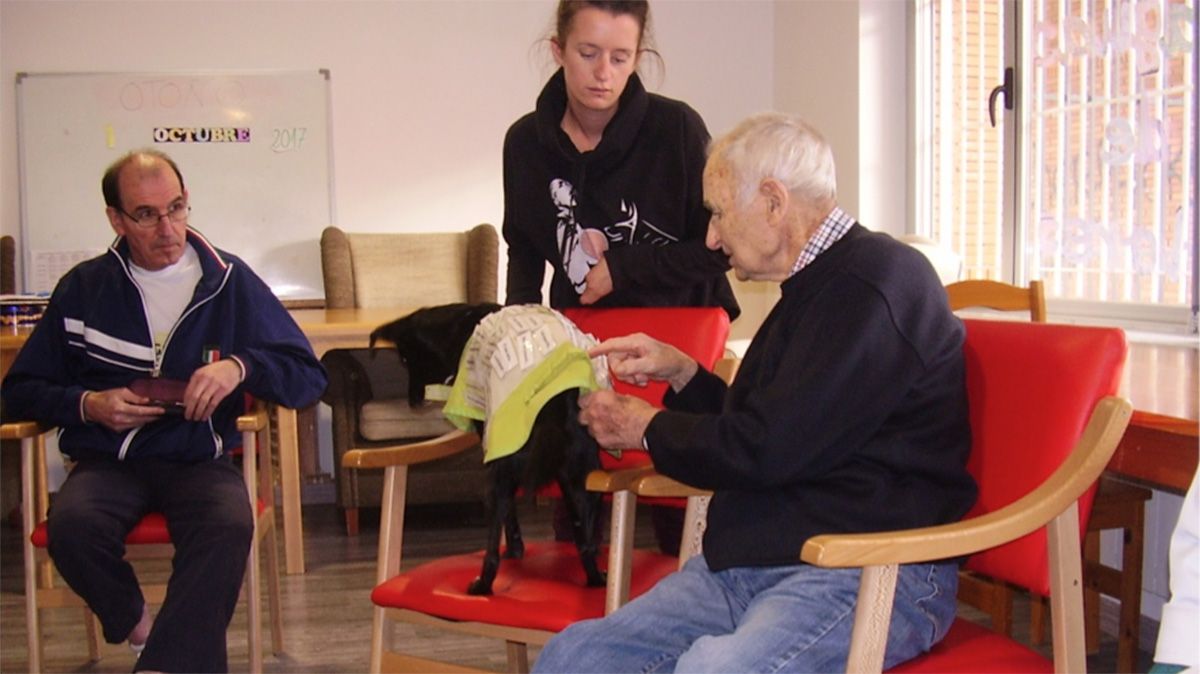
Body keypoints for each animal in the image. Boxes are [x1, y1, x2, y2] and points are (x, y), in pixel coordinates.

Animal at [369, 302, 604, 590]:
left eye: (404, 359)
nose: (413, 402)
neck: (458, 324)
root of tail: (553, 400)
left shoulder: (494, 453)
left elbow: (509, 516)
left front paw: (514, 550)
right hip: (585, 476)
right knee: (585, 540)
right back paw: (596, 578)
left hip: (500, 475)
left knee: (492, 544)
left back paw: (482, 585)